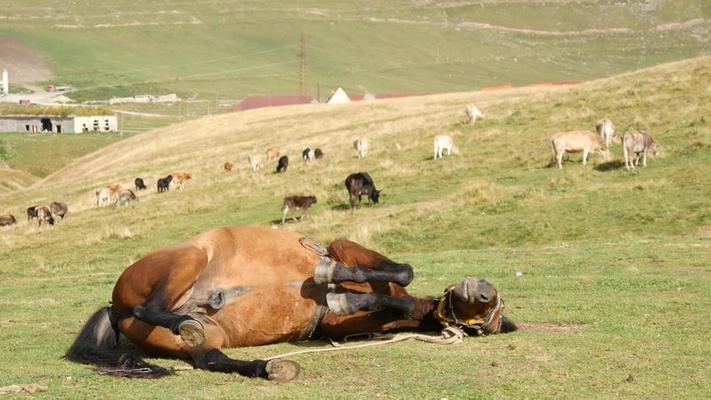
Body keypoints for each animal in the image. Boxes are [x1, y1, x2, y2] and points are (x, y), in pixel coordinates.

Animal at [68, 227, 516, 380]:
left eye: (490, 321)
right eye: (494, 309)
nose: (483, 291)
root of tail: (115, 307)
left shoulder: (333, 324)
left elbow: (367, 304)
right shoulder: (346, 249)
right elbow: (392, 272)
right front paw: (330, 276)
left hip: (202, 336)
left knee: (210, 358)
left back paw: (268, 368)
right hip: (188, 259)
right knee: (152, 306)